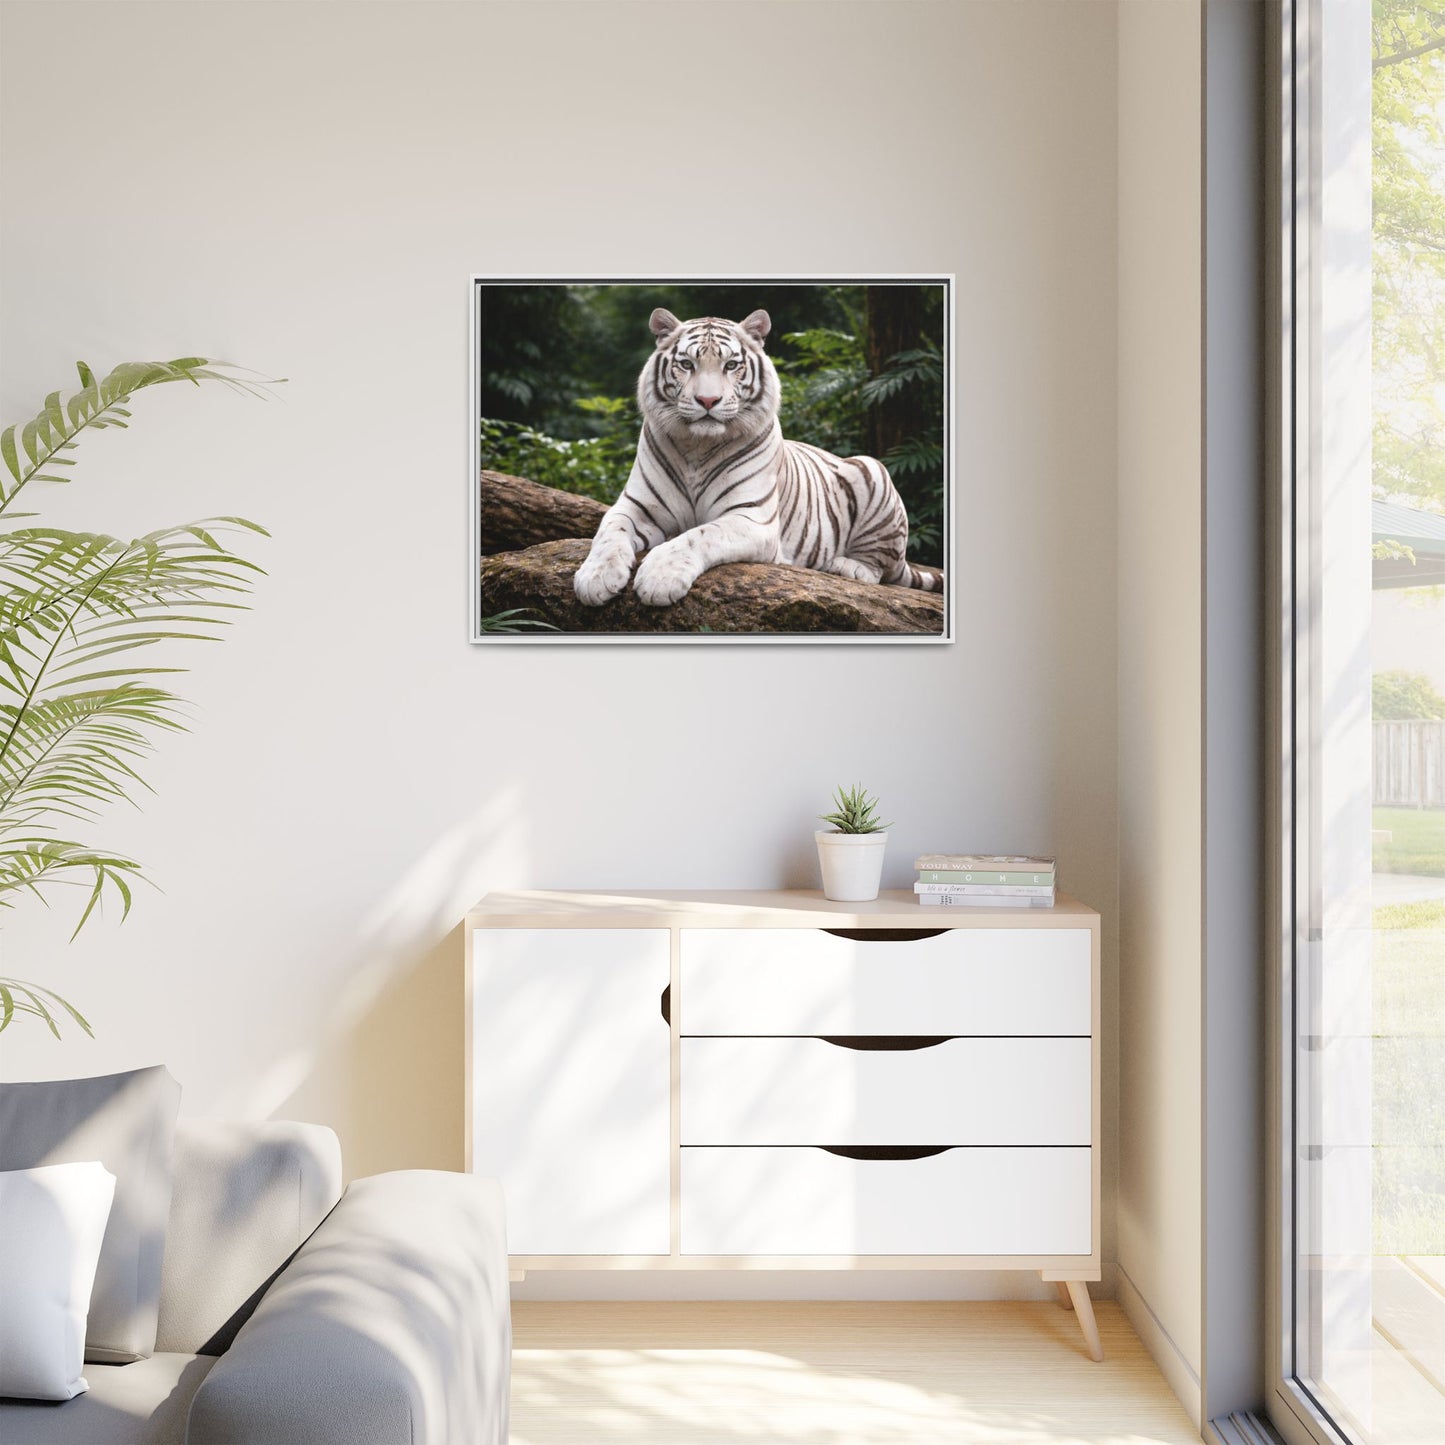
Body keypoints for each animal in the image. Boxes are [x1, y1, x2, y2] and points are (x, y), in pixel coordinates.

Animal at [572, 307, 942, 608]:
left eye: (731, 365)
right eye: (687, 364)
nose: (708, 400)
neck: (697, 447)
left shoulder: (750, 518)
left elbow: (699, 535)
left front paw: (660, 578)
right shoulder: (635, 506)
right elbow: (609, 533)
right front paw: (595, 578)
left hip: (871, 468)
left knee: (881, 569)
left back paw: (845, 566)